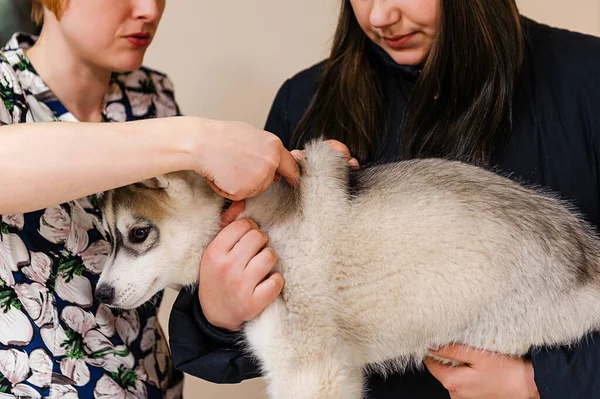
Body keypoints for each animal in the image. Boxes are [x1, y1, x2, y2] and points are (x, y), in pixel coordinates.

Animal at [96, 140, 600, 399]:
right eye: (107, 236)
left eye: (138, 234)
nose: (100, 294)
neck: (244, 216)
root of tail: (585, 254)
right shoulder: (341, 369)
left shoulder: (310, 370)